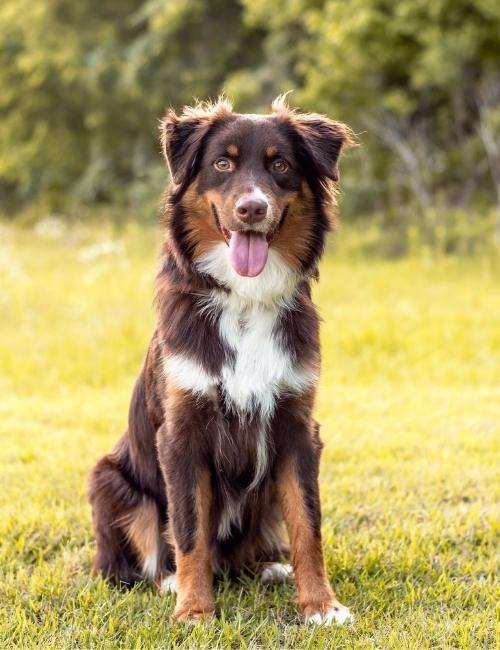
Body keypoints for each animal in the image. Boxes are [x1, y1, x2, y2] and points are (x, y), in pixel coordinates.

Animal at [90, 96, 356, 624]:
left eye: (280, 165)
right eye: (222, 164)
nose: (252, 208)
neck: (245, 300)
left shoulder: (297, 427)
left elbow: (307, 526)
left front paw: (320, 605)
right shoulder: (181, 433)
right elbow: (190, 531)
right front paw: (195, 610)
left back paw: (268, 568)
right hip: (111, 480)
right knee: (137, 564)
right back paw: (170, 581)